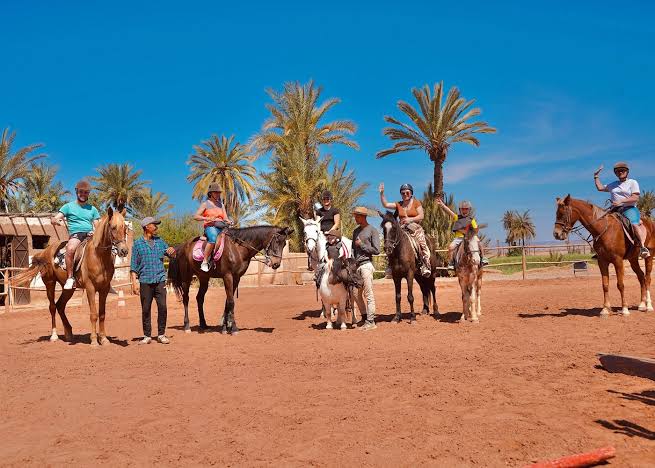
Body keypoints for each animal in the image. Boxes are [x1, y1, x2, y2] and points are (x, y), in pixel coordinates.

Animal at [11, 207, 129, 345]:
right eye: (113, 227)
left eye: (125, 228)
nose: (124, 251)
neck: (98, 257)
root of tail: (45, 251)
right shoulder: (90, 288)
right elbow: (93, 314)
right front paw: (94, 340)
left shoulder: (104, 289)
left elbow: (102, 314)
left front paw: (104, 339)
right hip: (50, 283)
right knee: (52, 307)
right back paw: (54, 336)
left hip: (68, 289)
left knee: (60, 306)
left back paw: (68, 333)